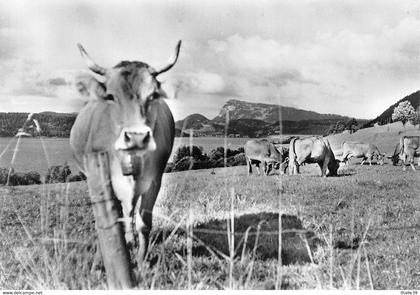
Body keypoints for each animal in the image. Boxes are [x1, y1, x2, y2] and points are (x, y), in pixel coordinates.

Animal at [70, 40, 182, 262]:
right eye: (110, 96)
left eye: (153, 95)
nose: (137, 137)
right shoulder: (106, 180)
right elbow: (114, 221)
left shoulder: (154, 180)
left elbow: (143, 222)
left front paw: (141, 260)